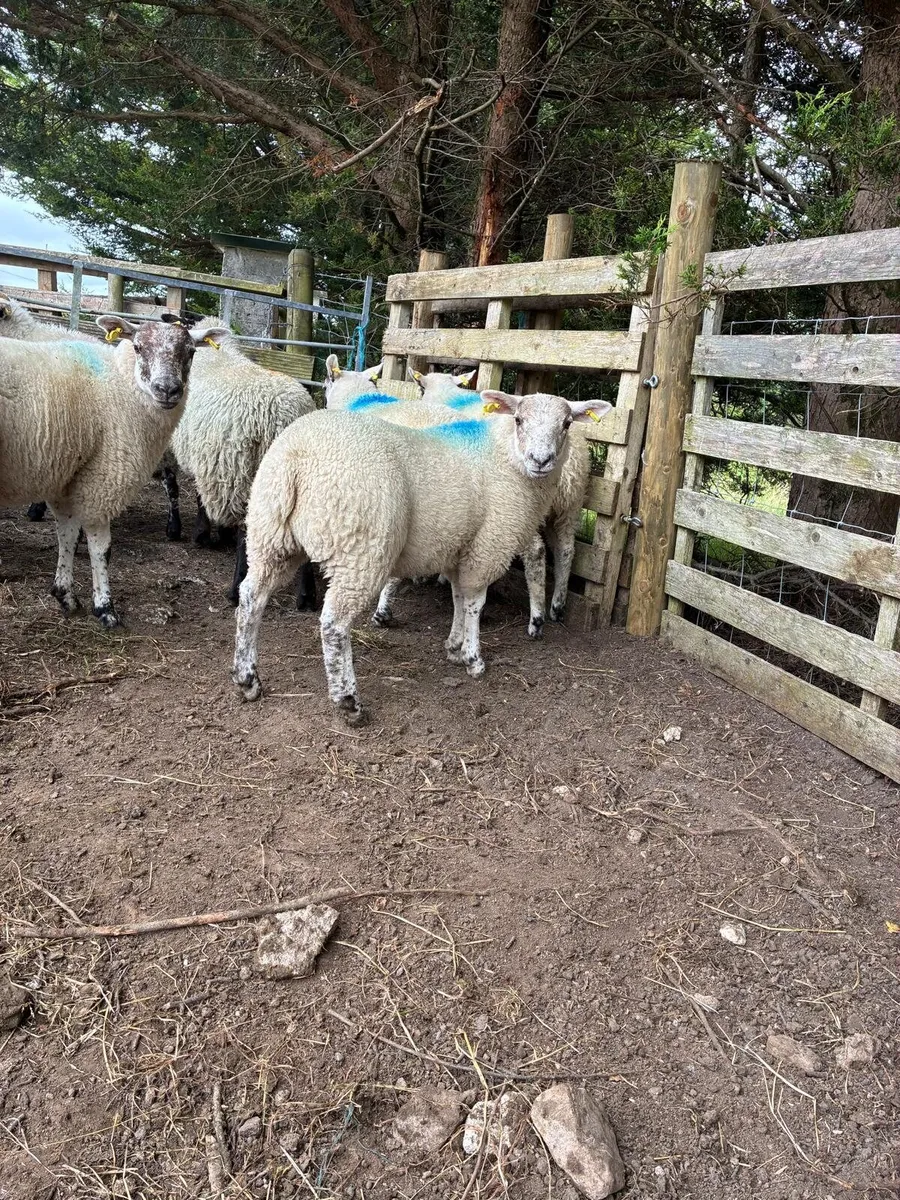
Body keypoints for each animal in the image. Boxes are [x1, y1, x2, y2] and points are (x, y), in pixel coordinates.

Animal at [0, 314, 226, 625]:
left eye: (191, 352)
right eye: (138, 347)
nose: (167, 390)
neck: (120, 385)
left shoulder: (70, 476)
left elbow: (67, 536)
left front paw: (65, 595)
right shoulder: (102, 479)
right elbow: (102, 549)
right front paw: (105, 608)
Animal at [158, 314, 319, 608]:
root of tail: (285, 414)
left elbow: (179, 489)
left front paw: (192, 532)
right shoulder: (210, 460)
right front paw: (215, 532)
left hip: (247, 473)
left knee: (248, 530)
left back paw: (236, 589)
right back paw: (307, 596)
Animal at [232, 390, 604, 724]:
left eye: (567, 423)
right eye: (518, 420)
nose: (541, 460)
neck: (504, 457)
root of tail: (297, 457)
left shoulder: (460, 545)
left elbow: (458, 597)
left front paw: (454, 646)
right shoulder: (488, 545)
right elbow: (474, 603)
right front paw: (473, 658)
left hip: (271, 534)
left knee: (251, 598)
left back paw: (247, 678)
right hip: (360, 548)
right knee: (333, 624)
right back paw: (348, 701)